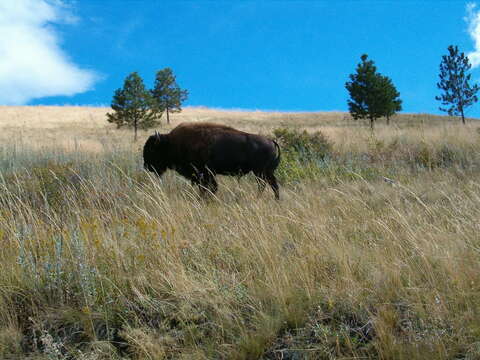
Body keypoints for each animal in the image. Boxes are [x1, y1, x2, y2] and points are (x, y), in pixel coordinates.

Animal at [142, 122, 282, 198]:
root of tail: (271, 141)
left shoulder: (205, 173)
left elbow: (209, 188)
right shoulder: (206, 174)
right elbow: (209, 188)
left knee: (265, 185)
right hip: (266, 172)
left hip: (260, 172)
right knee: (273, 185)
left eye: (152, 149)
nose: (146, 166)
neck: (172, 143)